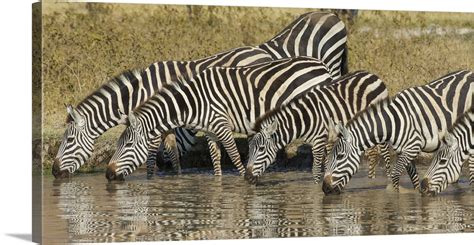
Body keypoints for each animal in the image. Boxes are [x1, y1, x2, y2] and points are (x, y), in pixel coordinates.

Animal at [50, 46, 272, 180]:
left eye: (69, 140)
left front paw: (151, 181)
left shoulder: (154, 124)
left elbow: (150, 156)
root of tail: (261, 52)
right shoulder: (164, 124)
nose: (53, 172)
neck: (140, 93)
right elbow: (173, 154)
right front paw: (177, 178)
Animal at [104, 57, 334, 180]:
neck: (194, 102)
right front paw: (218, 184)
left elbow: (234, 155)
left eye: (128, 145)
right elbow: (215, 158)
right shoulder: (210, 131)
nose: (107, 175)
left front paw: (242, 179)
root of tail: (320, 65)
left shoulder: (221, 125)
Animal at [246, 70, 390, 183]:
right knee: (373, 154)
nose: (247, 177)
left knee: (385, 153)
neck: (305, 119)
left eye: (261, 149)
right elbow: (326, 165)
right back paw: (371, 180)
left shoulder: (319, 142)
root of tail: (372, 75)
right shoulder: (320, 142)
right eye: (250, 148)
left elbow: (315, 170)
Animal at [322, 70, 474, 194]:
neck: (394, 123)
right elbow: (414, 179)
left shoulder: (413, 147)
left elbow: (395, 176)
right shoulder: (404, 151)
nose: (324, 189)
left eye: (340, 156)